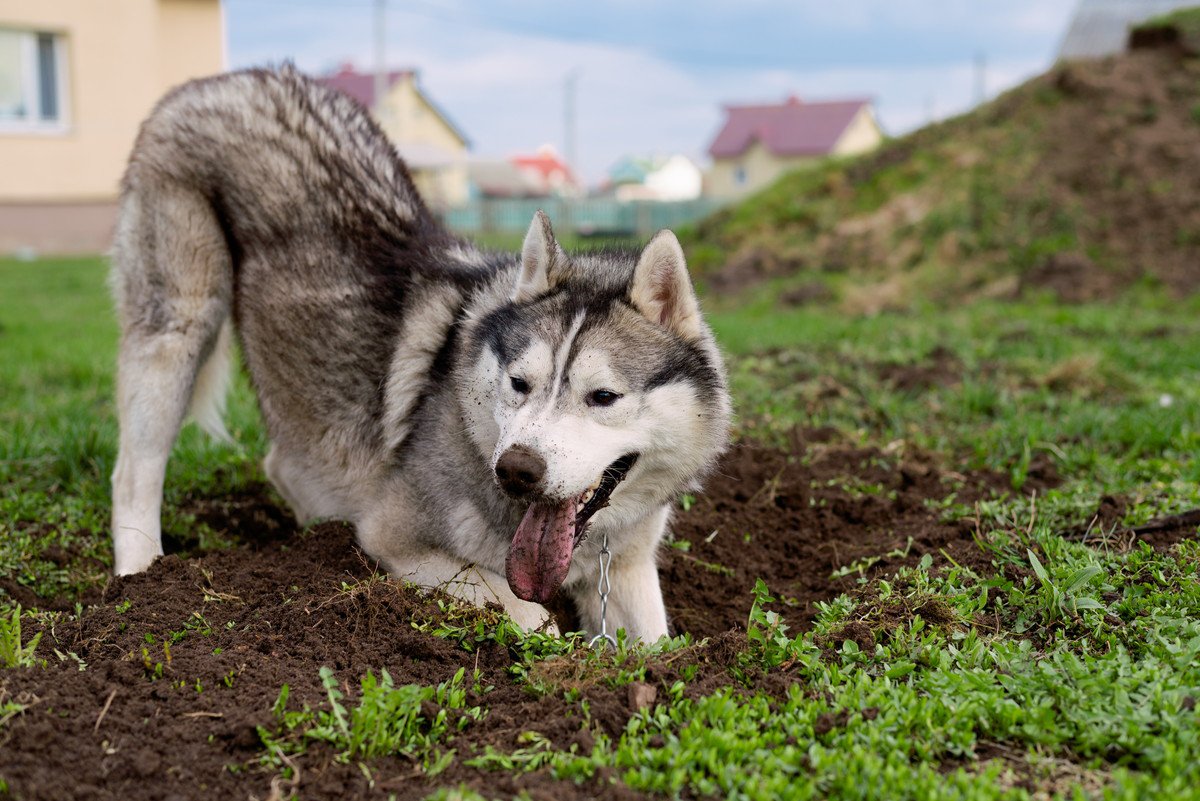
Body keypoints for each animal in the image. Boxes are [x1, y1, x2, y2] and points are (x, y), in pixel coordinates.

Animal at [112, 65, 729, 642]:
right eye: (519, 384)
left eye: (602, 397)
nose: (516, 470)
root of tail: (221, 79)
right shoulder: (393, 539)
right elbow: (534, 618)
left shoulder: (626, 570)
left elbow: (659, 648)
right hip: (178, 330)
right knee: (133, 475)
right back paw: (139, 580)